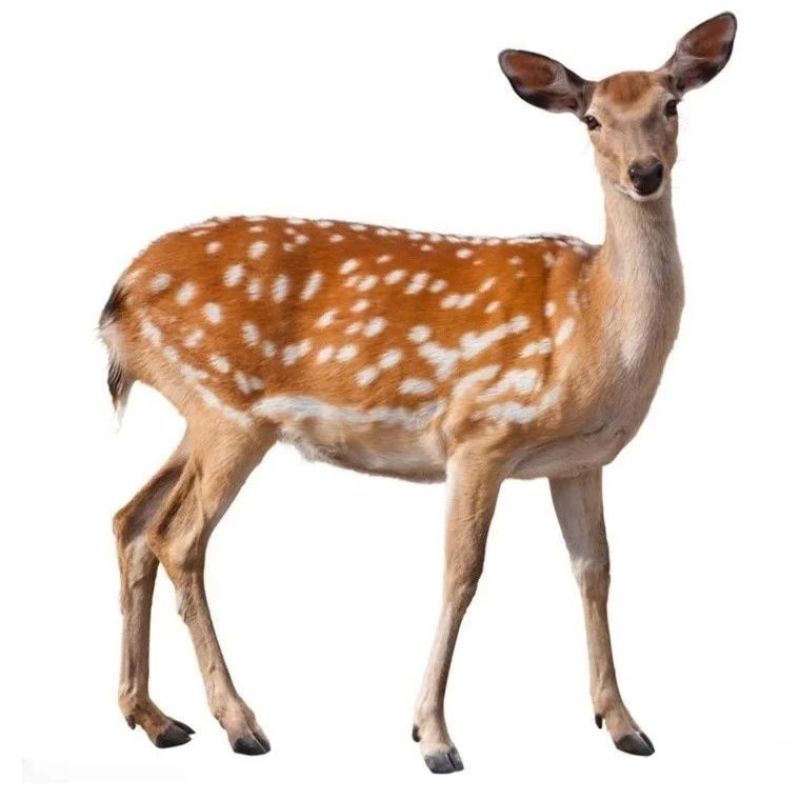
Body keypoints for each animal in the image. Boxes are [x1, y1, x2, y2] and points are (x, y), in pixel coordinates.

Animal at [100, 12, 737, 773]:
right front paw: (432, 736)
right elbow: (462, 574)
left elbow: (596, 571)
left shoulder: (579, 461)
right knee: (179, 538)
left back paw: (154, 718)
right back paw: (239, 723)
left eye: (671, 105)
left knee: (131, 519)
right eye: (591, 119)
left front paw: (623, 724)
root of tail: (117, 298)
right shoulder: (479, 432)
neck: (592, 326)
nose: (644, 173)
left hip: (201, 415)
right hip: (230, 410)